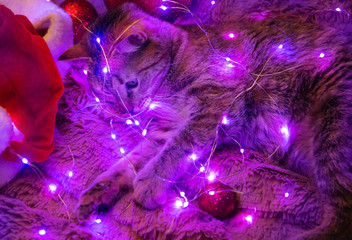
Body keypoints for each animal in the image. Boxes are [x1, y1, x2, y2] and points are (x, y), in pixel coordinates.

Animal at [60, 1, 352, 238]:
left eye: (131, 84)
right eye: (107, 96)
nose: (128, 112)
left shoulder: (215, 102)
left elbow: (177, 149)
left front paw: (150, 181)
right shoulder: (161, 133)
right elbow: (126, 164)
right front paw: (98, 192)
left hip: (333, 130)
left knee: (342, 218)